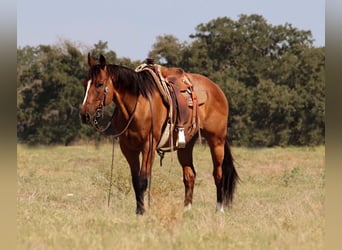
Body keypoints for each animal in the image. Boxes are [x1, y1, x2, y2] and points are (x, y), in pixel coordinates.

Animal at [79, 54, 238, 215]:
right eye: (85, 83)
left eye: (99, 84)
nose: (85, 115)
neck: (138, 105)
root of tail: (216, 89)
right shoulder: (128, 149)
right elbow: (135, 180)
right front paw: (139, 209)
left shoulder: (148, 146)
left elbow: (143, 180)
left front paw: (142, 212)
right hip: (186, 146)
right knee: (190, 175)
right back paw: (186, 209)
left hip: (216, 141)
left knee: (218, 174)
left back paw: (219, 209)